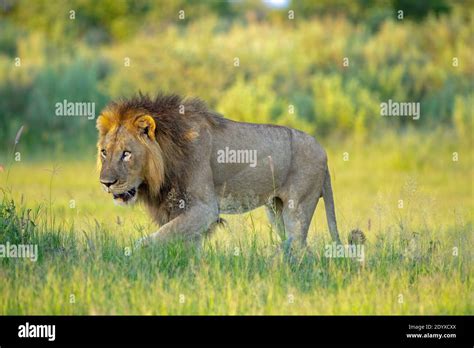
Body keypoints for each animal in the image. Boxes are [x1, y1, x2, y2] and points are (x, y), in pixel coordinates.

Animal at [96, 94, 342, 249]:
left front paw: (132, 253)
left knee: (300, 247)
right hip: (275, 211)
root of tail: (323, 150)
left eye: (127, 154)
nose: (105, 183)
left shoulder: (205, 209)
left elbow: (159, 236)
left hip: (297, 208)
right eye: (104, 152)